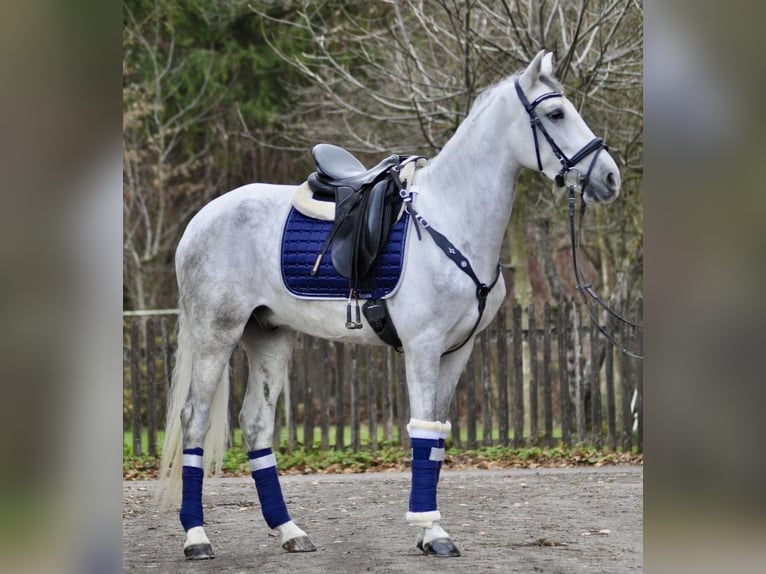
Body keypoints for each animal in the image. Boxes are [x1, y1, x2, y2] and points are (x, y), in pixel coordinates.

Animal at [158, 50, 621, 560]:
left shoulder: (457, 351)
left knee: (256, 424)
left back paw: (289, 531)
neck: (450, 220)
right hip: (215, 336)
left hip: (269, 337)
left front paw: (428, 532)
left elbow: (436, 433)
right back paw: (196, 537)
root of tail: (200, 221)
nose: (610, 177)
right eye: (555, 114)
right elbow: (422, 428)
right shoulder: (423, 347)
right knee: (194, 421)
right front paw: (433, 532)